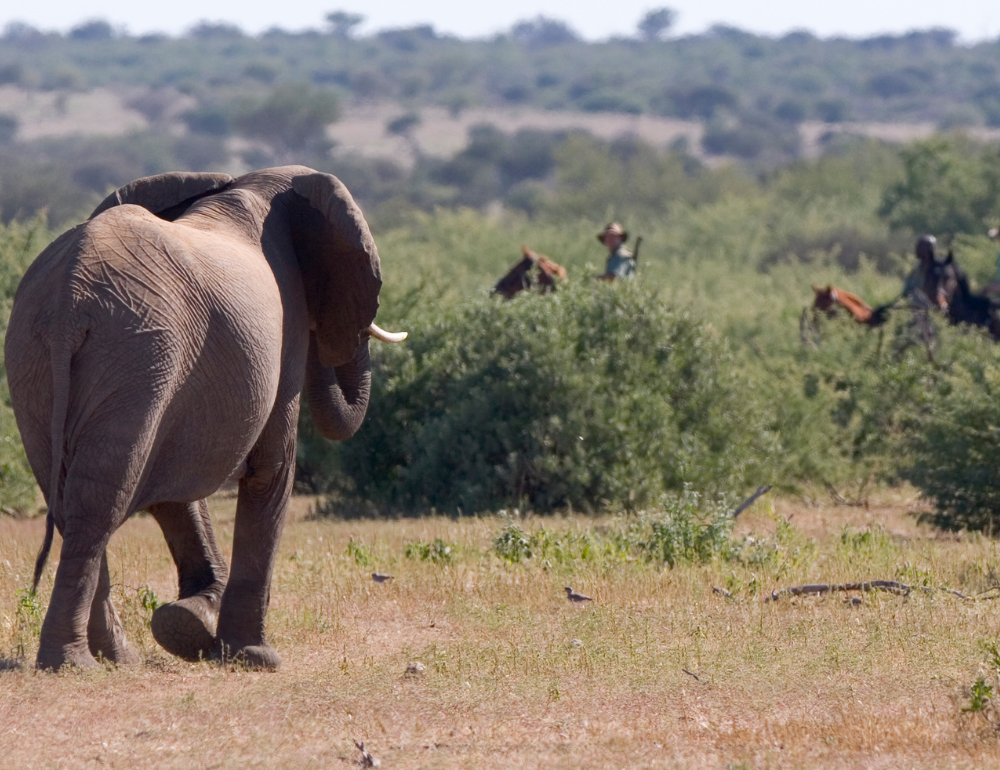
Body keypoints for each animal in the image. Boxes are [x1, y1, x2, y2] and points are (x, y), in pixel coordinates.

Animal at [6, 165, 406, 668]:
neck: (250, 185)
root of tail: (68, 296)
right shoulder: (285, 323)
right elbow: (271, 470)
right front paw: (255, 657)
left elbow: (174, 487)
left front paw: (186, 626)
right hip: (137, 352)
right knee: (98, 503)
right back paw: (73, 663)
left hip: (35, 357)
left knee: (67, 495)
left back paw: (118, 659)